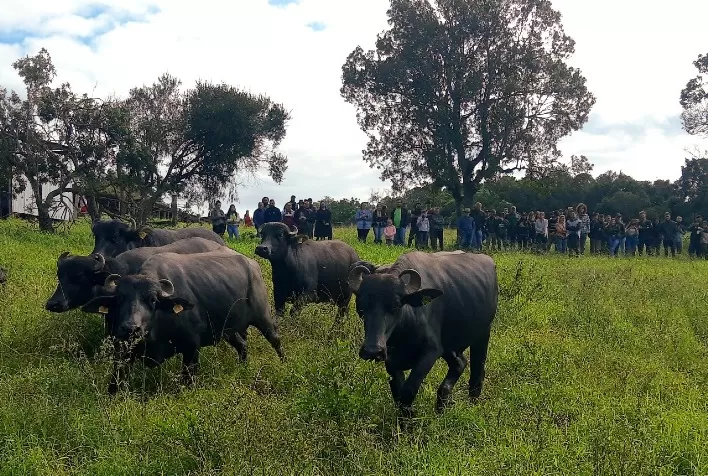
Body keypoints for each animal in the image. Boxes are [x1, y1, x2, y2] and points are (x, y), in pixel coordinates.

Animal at [82, 247, 284, 393]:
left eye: (153, 300)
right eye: (120, 299)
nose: (131, 328)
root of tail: (253, 265)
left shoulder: (192, 348)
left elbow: (187, 379)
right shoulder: (123, 352)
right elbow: (115, 383)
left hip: (263, 316)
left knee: (275, 339)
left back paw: (284, 363)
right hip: (229, 330)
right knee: (242, 345)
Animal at [348, 250, 498, 414]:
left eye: (396, 305)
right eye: (361, 308)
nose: (373, 350)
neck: (403, 331)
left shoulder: (430, 352)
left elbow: (409, 390)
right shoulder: (391, 361)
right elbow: (398, 393)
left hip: (483, 334)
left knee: (477, 371)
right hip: (449, 345)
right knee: (460, 363)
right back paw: (441, 405)